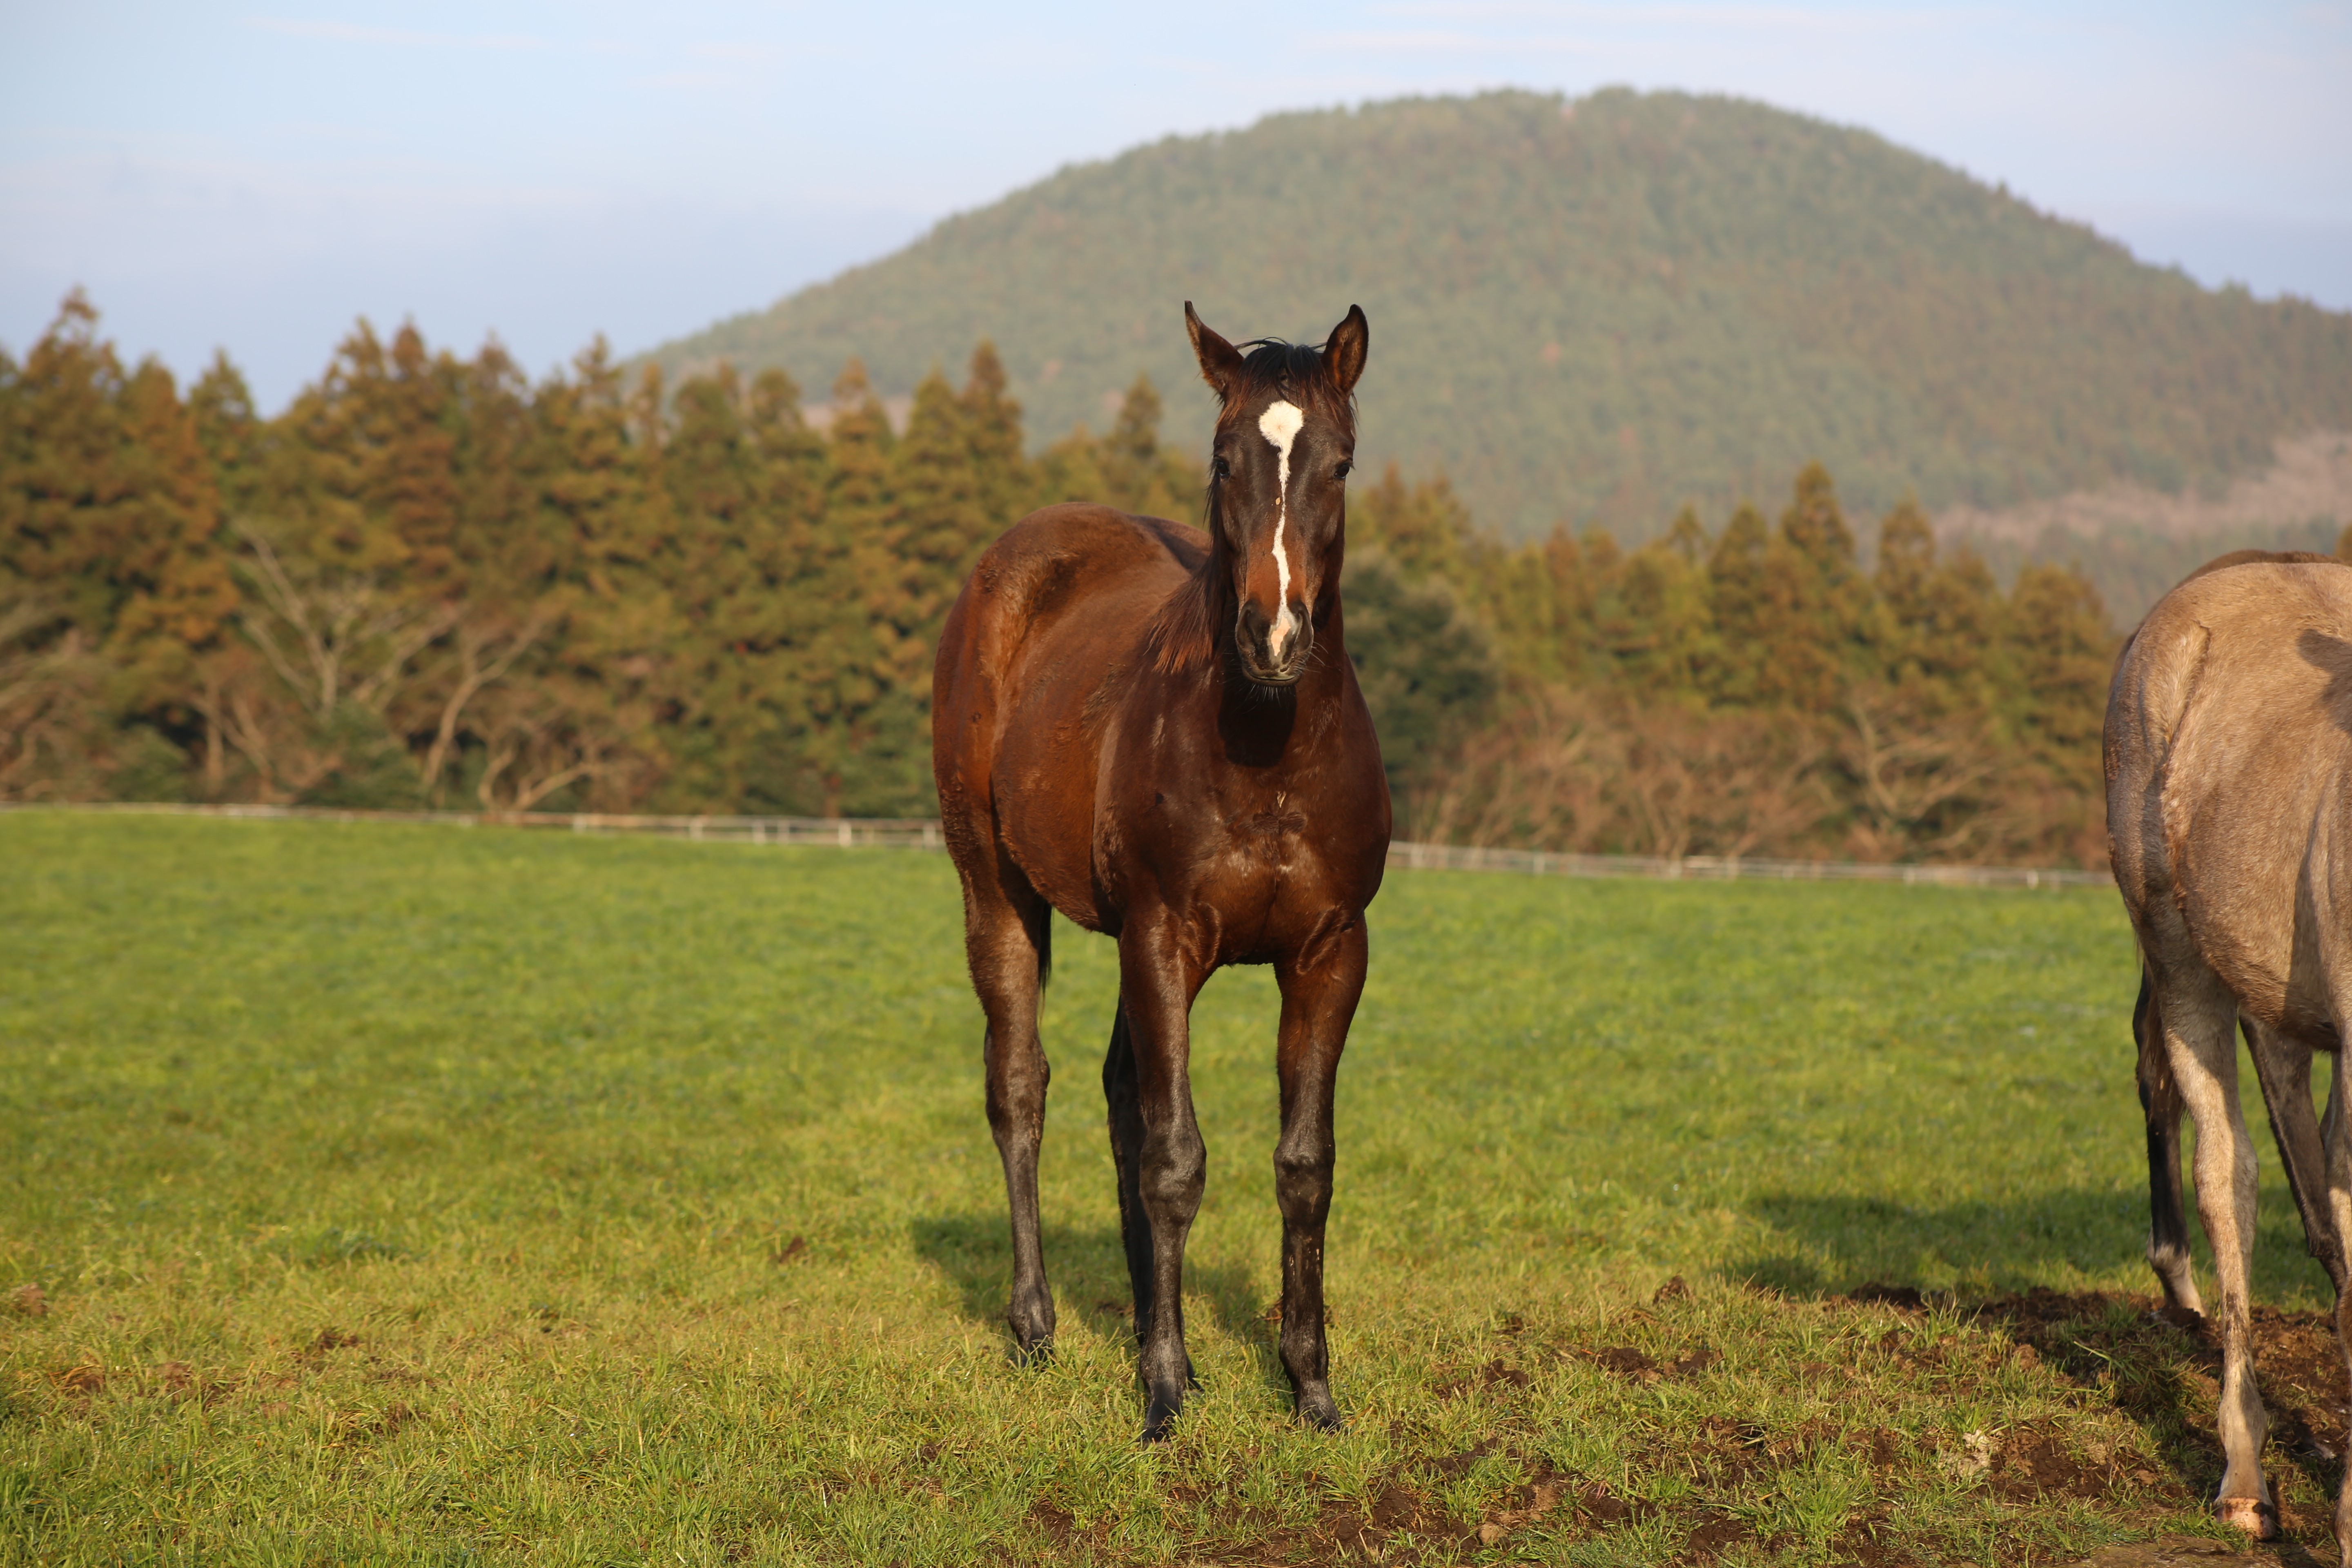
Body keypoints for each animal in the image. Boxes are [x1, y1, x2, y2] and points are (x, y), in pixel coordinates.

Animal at [927, 301, 1383, 1439]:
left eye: (1340, 463)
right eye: (1222, 459)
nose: (1273, 636)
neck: (1266, 746)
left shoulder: (1329, 953)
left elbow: (1302, 1165)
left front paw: (1310, 1390)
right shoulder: (1163, 938)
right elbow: (1177, 1160)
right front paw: (1166, 1396)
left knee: (1119, 1098)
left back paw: (1139, 1330)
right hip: (996, 895)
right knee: (1021, 1087)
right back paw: (1037, 1327)